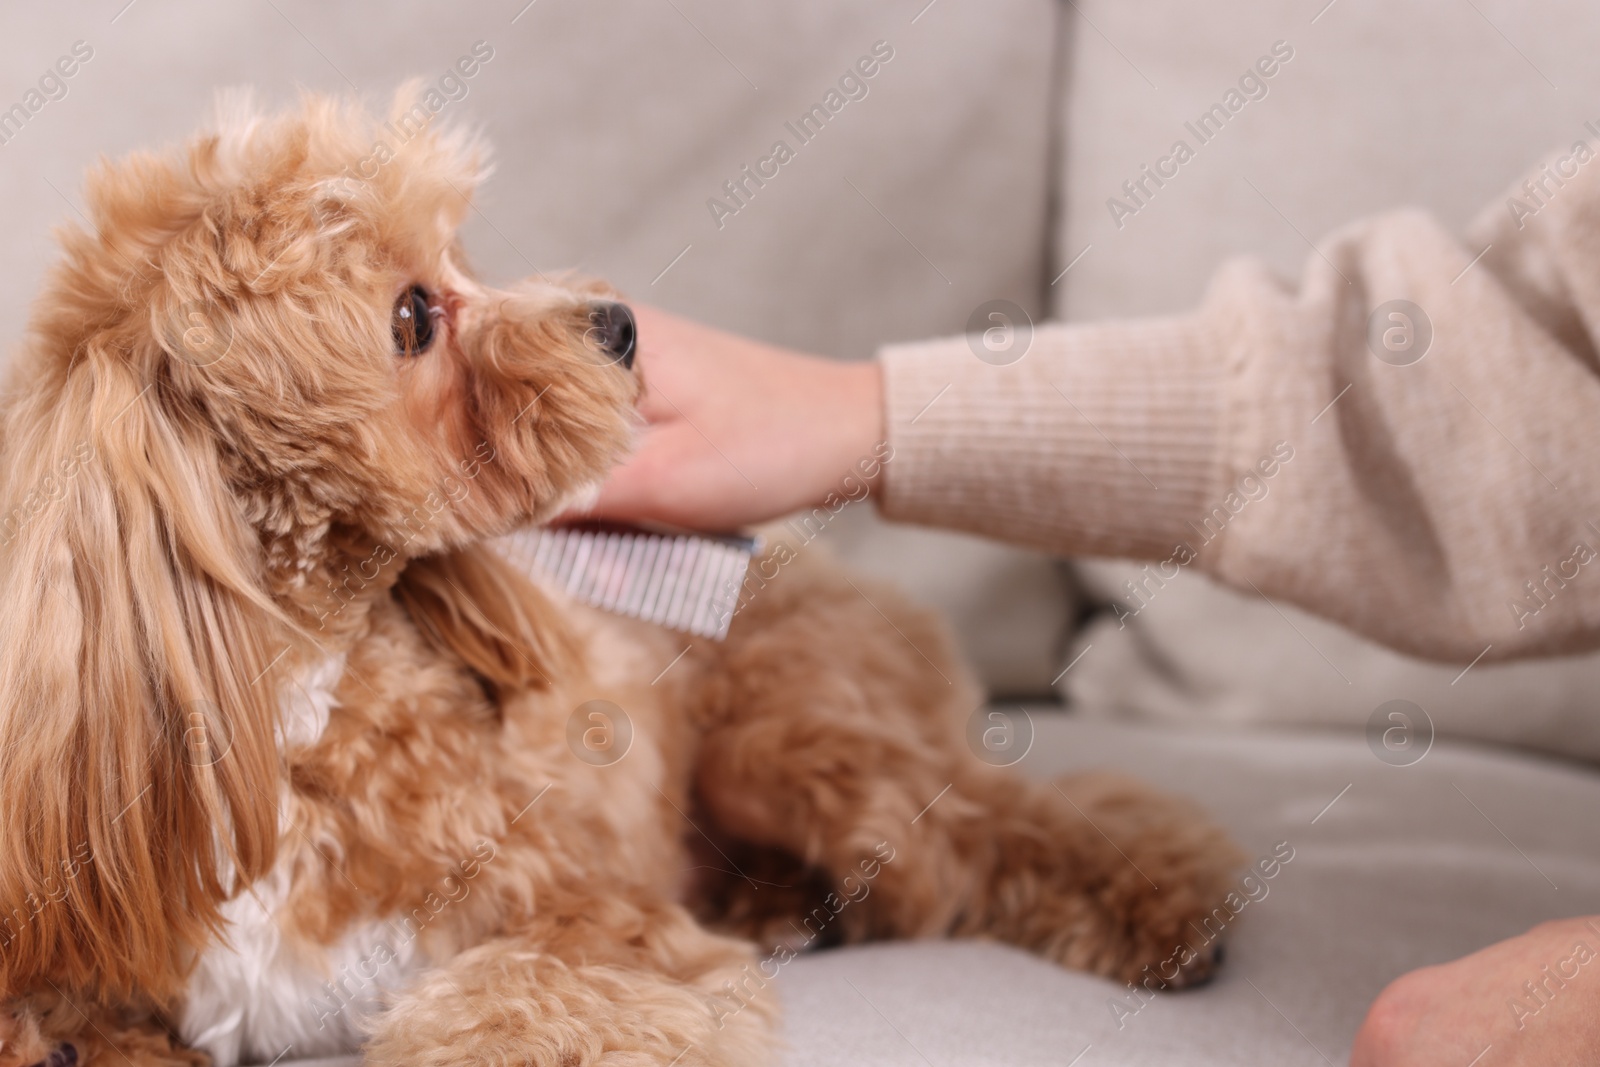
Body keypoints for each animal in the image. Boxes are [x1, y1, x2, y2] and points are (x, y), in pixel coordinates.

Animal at [0, 91, 1241, 1067]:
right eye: (412, 315)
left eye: (461, 258)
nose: (617, 321)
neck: (299, 699)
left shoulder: (588, 917)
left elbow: (515, 1006)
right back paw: (782, 904)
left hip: (796, 737)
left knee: (999, 829)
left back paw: (1161, 906)